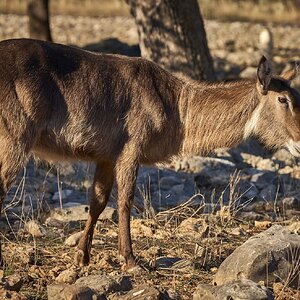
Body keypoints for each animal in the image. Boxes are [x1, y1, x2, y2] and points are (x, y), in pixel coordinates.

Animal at [0, 37, 298, 270]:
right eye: (283, 99)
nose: (297, 141)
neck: (178, 107)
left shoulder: (106, 156)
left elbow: (97, 201)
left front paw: (81, 256)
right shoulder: (131, 148)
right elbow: (125, 201)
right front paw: (130, 259)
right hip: (15, 139)